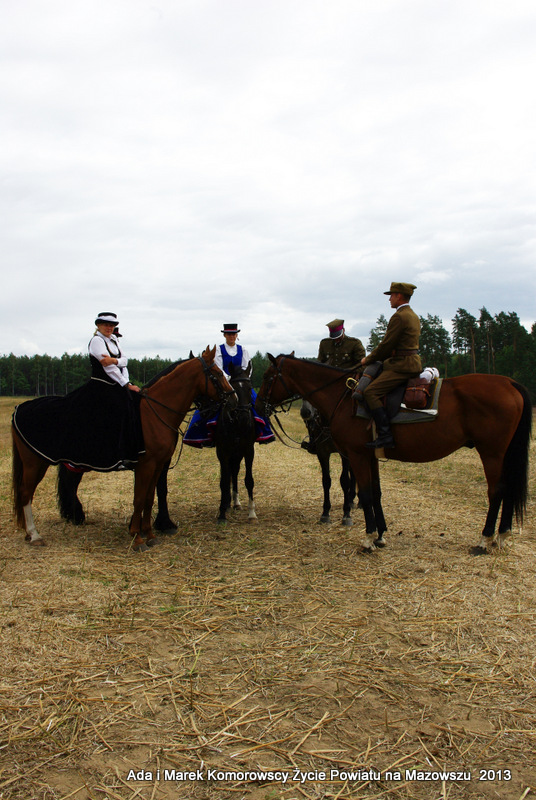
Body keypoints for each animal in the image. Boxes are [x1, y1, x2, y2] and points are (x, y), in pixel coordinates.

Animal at [12, 347, 237, 551]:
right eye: (217, 373)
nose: (233, 399)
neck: (156, 411)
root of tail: (20, 408)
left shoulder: (157, 465)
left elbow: (149, 498)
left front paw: (150, 533)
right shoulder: (146, 465)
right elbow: (139, 498)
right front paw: (136, 537)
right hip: (35, 463)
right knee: (26, 492)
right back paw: (35, 534)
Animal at [215, 363, 258, 523]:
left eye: (249, 387)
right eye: (234, 388)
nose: (245, 418)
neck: (237, 425)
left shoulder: (248, 451)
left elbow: (249, 480)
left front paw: (252, 513)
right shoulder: (223, 452)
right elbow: (224, 481)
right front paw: (222, 513)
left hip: (237, 455)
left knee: (234, 472)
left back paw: (236, 502)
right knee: (228, 475)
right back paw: (227, 503)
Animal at [256, 354, 532, 553]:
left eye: (268, 377)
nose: (258, 406)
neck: (344, 397)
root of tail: (509, 382)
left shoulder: (356, 455)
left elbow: (365, 494)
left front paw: (368, 539)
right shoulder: (369, 456)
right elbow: (376, 494)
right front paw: (380, 535)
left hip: (492, 452)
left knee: (497, 491)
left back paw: (484, 540)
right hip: (504, 454)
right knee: (508, 489)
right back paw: (502, 535)